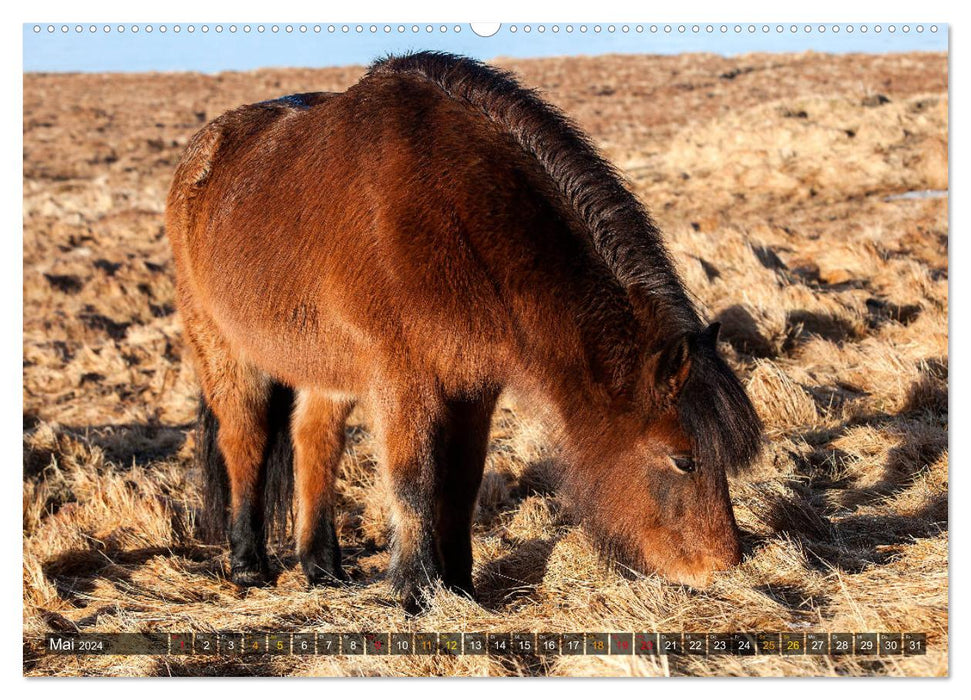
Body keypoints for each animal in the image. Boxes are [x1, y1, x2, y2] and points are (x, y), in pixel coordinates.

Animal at [167, 49, 764, 608]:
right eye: (683, 459)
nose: (723, 566)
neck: (456, 210)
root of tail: (205, 151)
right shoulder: (403, 383)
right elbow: (413, 483)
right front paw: (414, 591)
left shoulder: (474, 385)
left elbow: (461, 481)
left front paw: (458, 586)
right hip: (221, 348)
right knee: (245, 439)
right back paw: (249, 564)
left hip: (323, 364)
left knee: (315, 440)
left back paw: (323, 567)